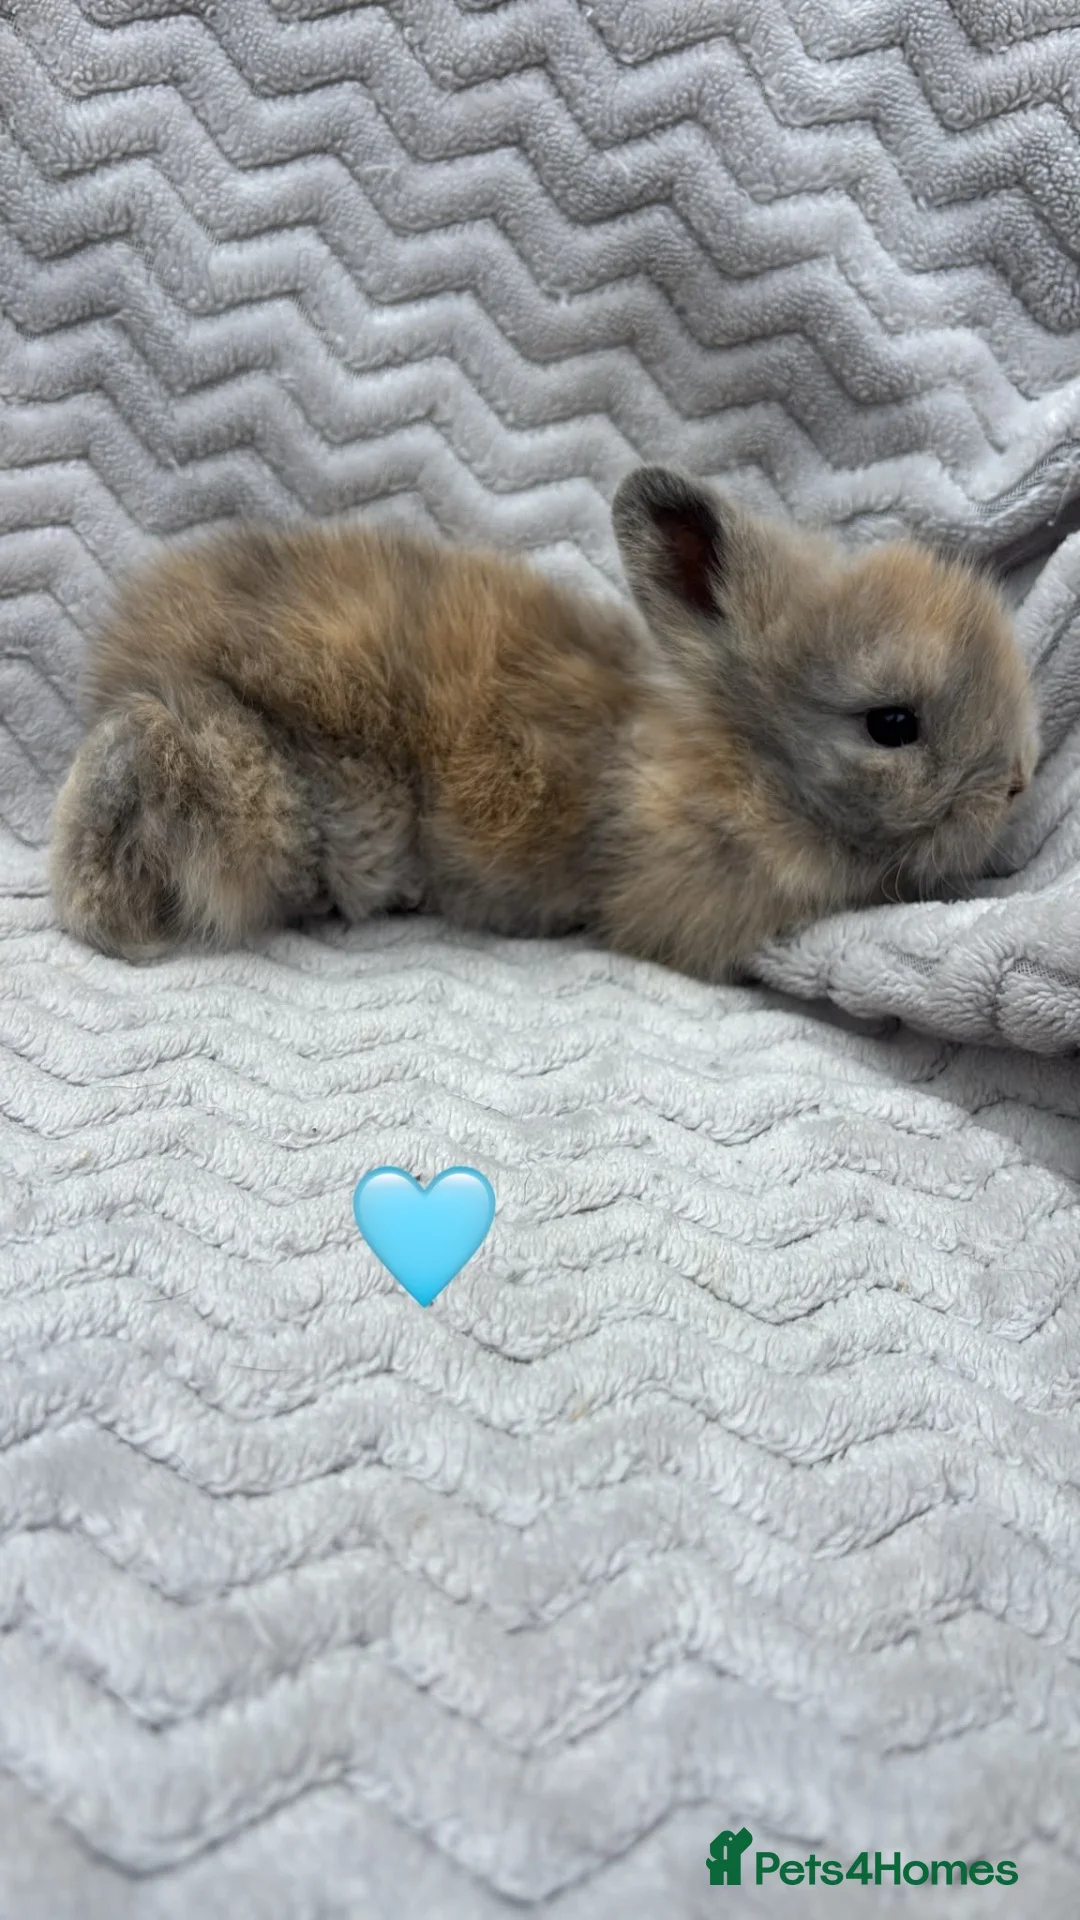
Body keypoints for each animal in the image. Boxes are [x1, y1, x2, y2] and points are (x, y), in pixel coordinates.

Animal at [50, 465, 1040, 982]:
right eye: (893, 724)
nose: (1019, 783)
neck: (742, 755)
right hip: (247, 787)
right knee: (132, 759)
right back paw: (115, 925)